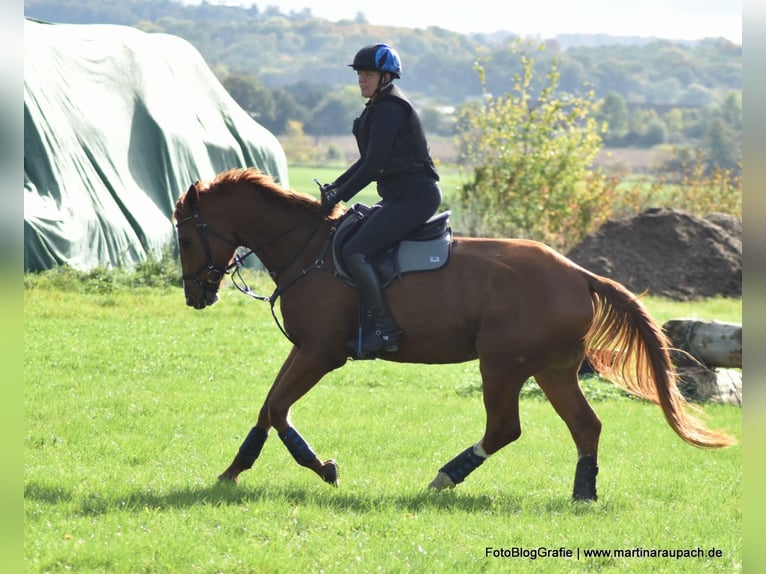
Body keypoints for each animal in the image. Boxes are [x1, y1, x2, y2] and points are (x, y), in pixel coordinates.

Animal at [173, 167, 735, 501]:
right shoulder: (307, 349)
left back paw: (445, 476)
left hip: (502, 364)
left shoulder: (320, 352)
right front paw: (235, 470)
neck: (306, 248)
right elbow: (269, 407)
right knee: (585, 426)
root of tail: (579, 275)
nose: (196, 297)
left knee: (505, 428)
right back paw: (583, 494)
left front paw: (321, 467)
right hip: (551, 369)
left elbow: (277, 408)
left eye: (184, 235)